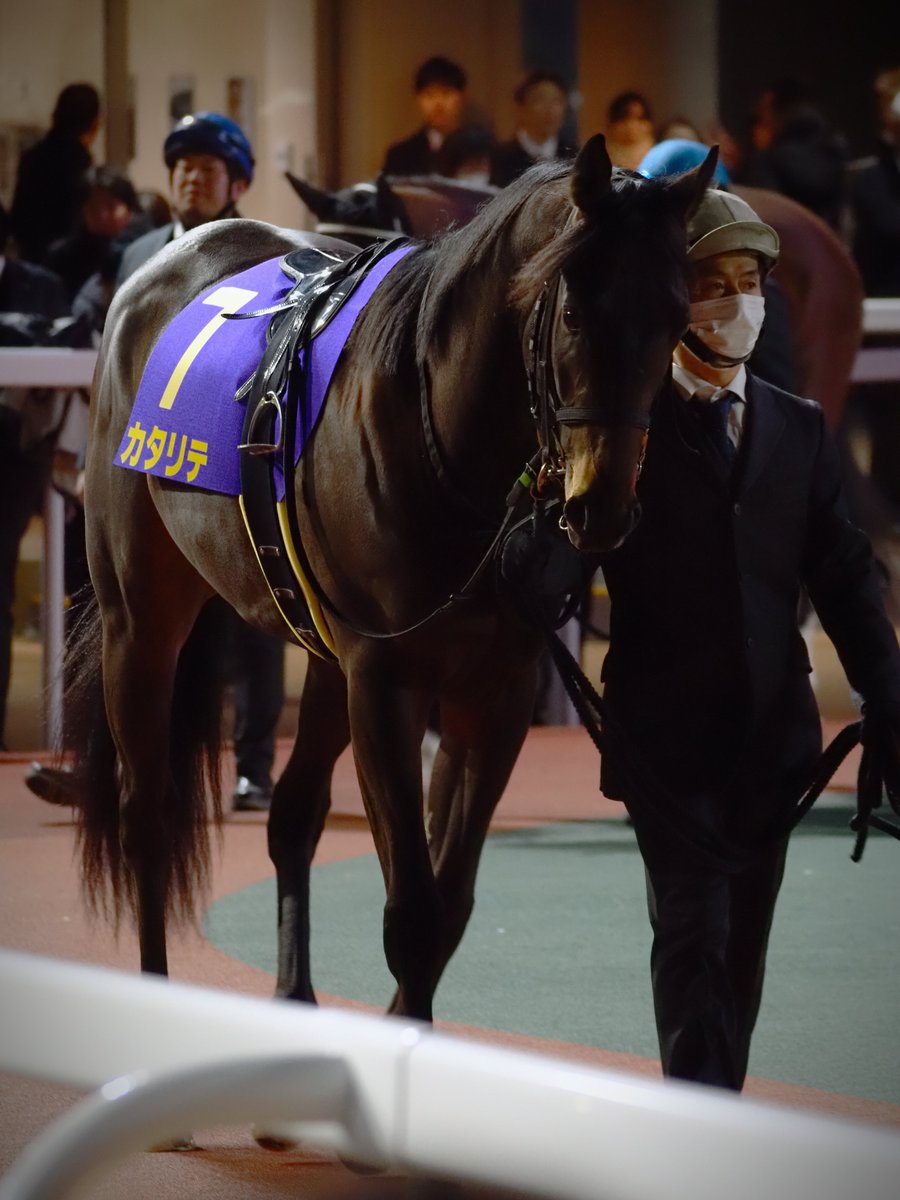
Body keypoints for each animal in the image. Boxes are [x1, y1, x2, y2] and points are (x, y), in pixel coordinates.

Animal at [64, 135, 713, 1020]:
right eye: (576, 312)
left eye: (679, 320)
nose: (602, 505)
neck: (440, 433)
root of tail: (163, 265)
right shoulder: (386, 682)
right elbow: (412, 913)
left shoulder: (494, 690)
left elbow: (449, 909)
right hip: (142, 618)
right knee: (146, 820)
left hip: (319, 647)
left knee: (293, 815)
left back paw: (295, 992)